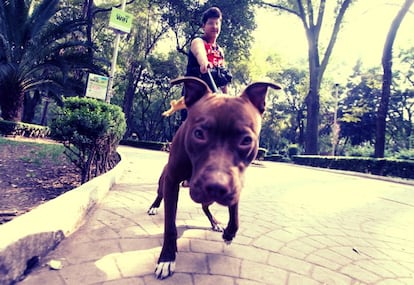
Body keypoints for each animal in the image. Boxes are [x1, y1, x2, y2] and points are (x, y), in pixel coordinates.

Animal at [150, 75, 280, 278]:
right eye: (198, 133)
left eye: (246, 140)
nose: (217, 187)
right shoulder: (172, 182)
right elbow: (170, 226)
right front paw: (166, 259)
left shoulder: (236, 184)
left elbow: (235, 213)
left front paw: (229, 233)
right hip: (164, 181)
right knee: (160, 195)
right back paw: (154, 207)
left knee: (205, 206)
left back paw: (216, 223)